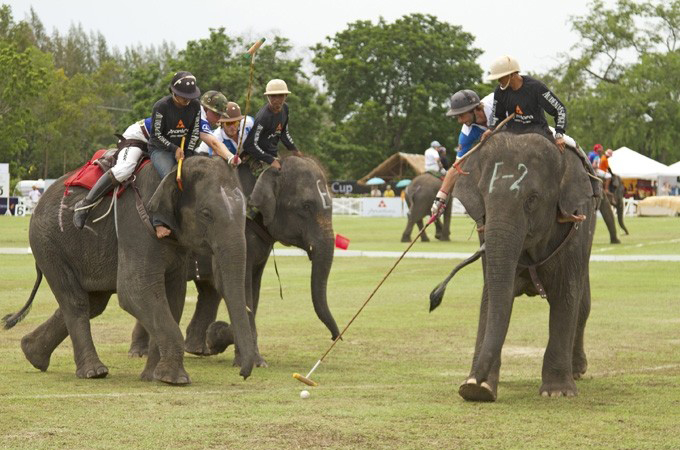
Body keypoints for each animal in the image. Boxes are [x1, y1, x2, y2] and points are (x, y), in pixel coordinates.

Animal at [2, 157, 256, 384]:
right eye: (206, 213)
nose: (243, 375)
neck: (173, 169)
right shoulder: (136, 226)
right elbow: (135, 292)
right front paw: (175, 379)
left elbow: (174, 297)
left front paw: (153, 377)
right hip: (48, 244)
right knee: (76, 303)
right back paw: (94, 372)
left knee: (94, 303)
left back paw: (32, 353)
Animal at [127, 156, 340, 367]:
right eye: (306, 206)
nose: (335, 337)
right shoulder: (240, 229)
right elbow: (235, 286)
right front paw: (248, 357)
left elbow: (252, 288)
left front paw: (219, 340)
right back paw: (142, 353)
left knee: (207, 290)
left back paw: (195, 349)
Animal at [431, 131, 597, 402]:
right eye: (483, 197)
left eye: (532, 199)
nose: (472, 386)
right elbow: (492, 297)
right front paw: (479, 387)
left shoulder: (575, 229)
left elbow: (566, 297)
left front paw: (557, 392)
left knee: (583, 304)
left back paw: (577, 371)